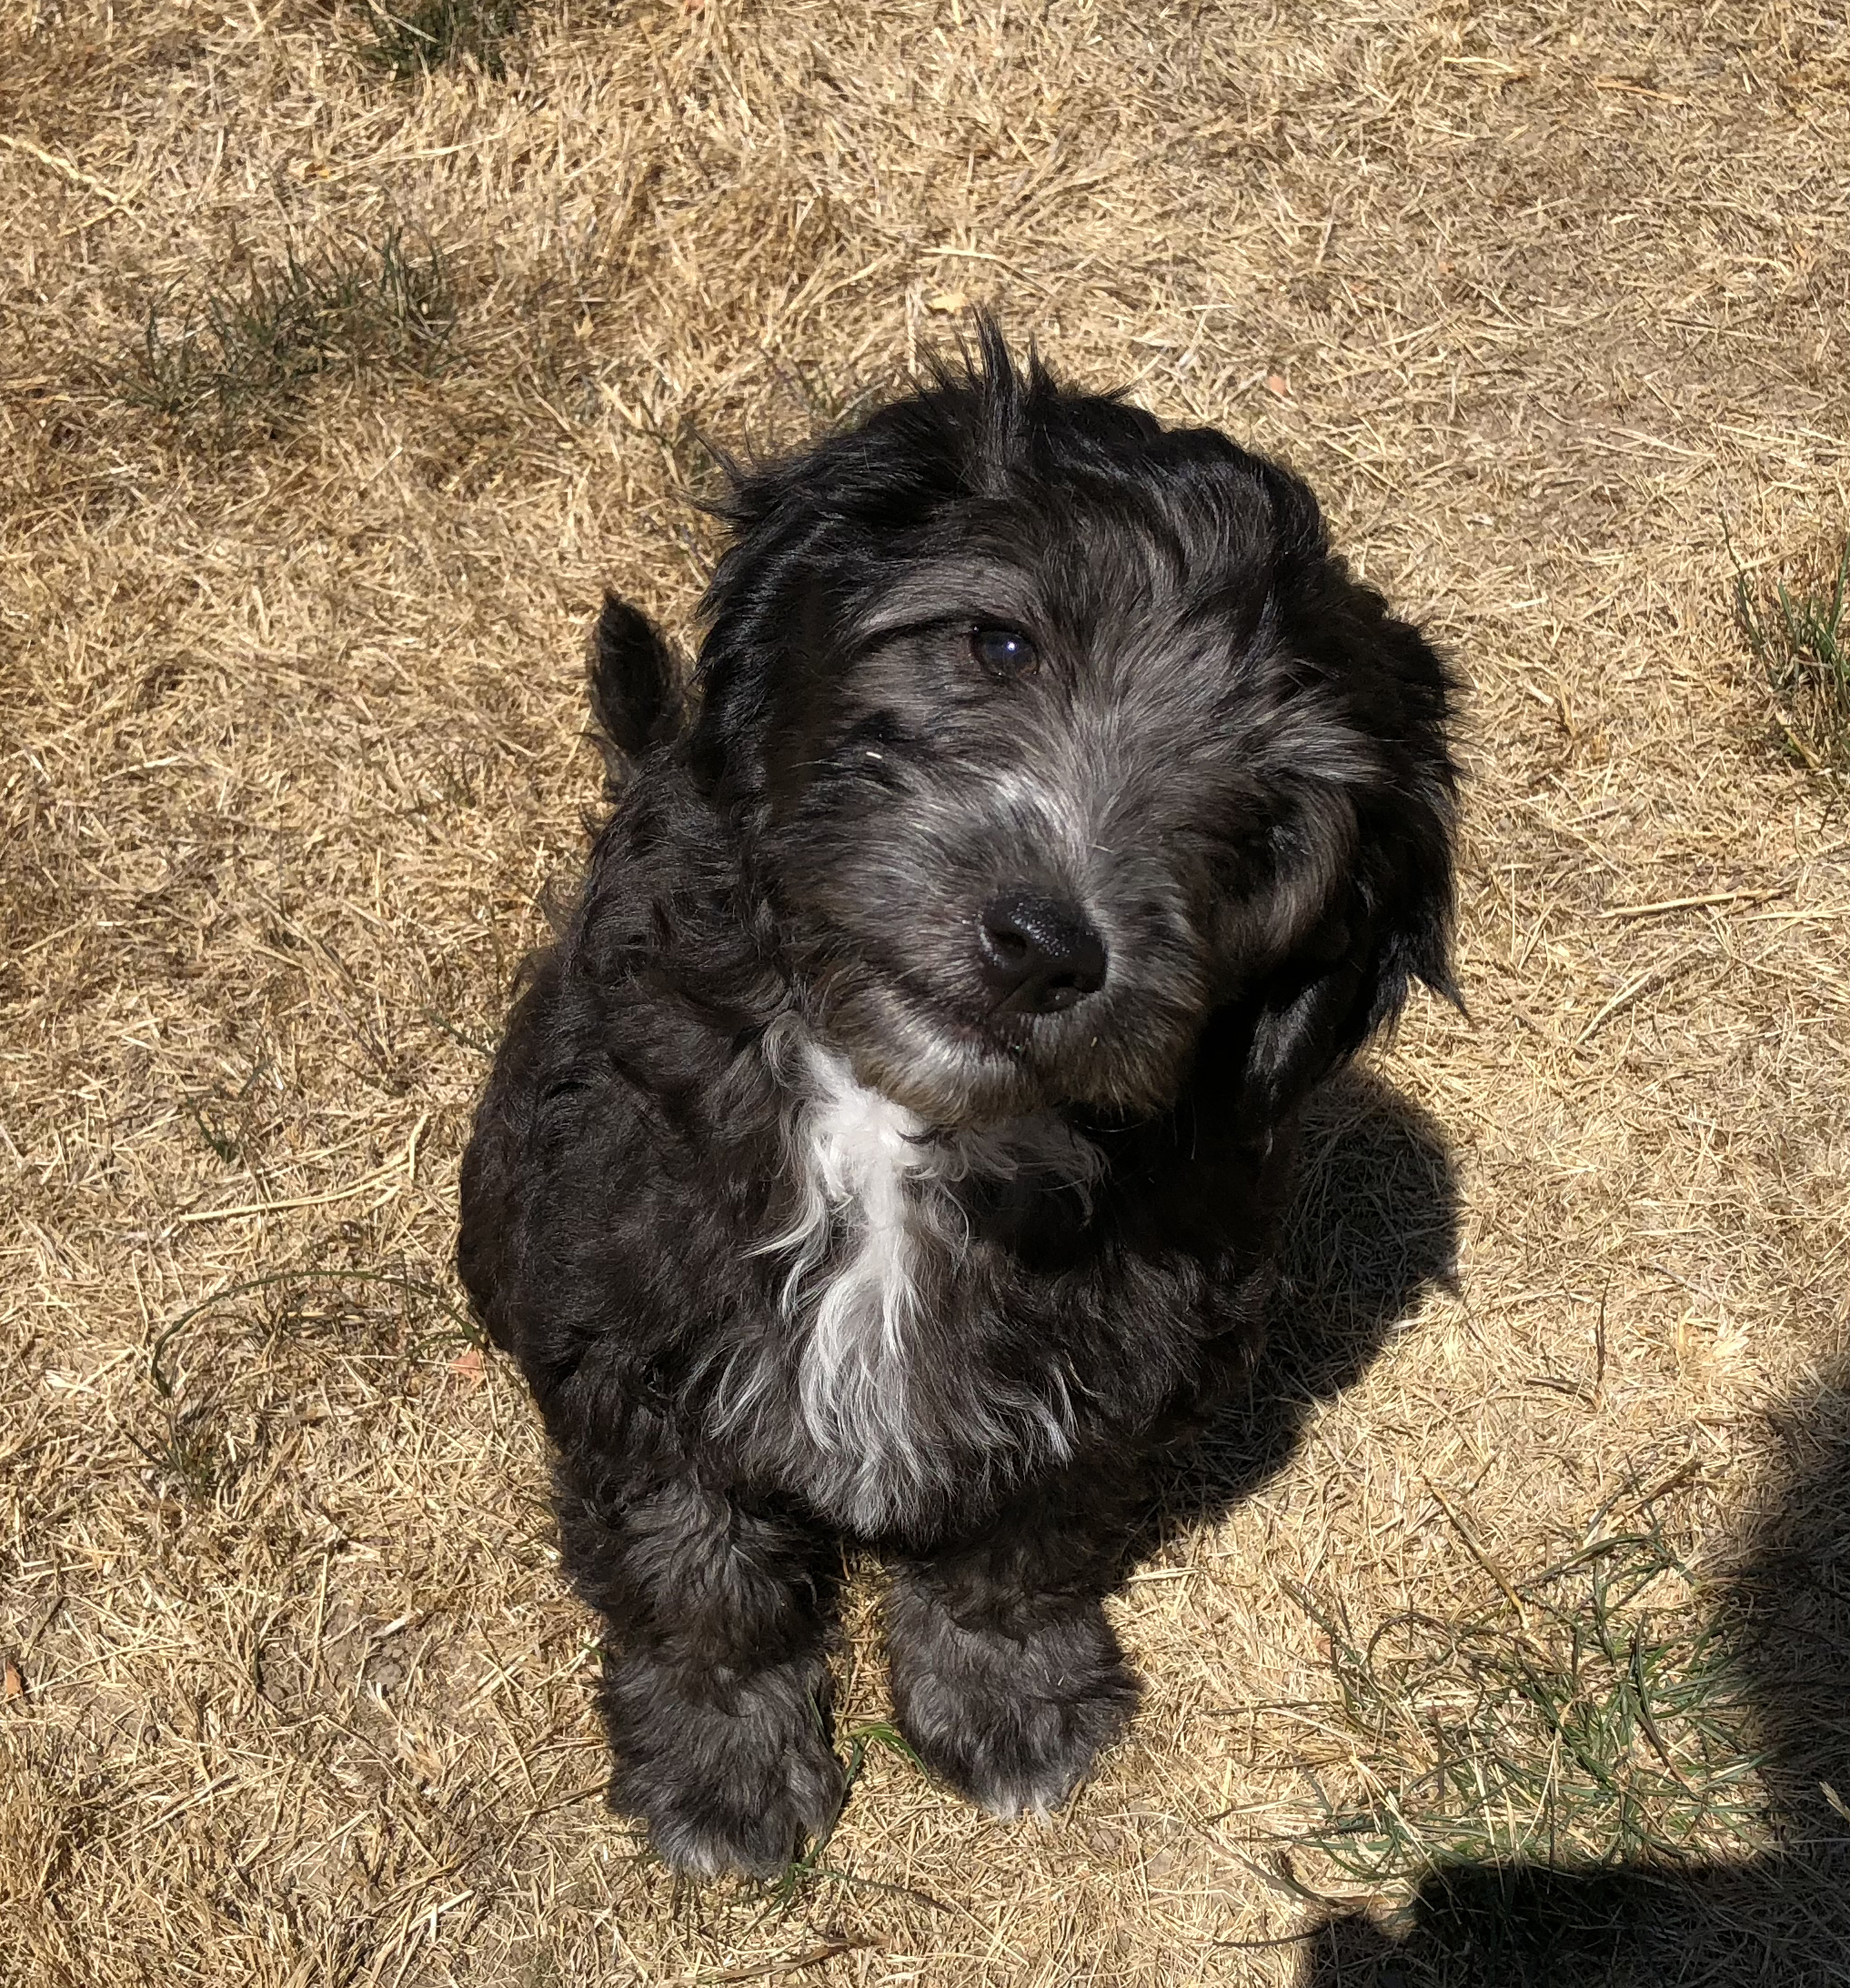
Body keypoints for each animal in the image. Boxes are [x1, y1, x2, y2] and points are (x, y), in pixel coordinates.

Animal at [457, 329, 1455, 1876]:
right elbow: (697, 1573)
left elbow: (1016, 1550)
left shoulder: (1117, 1357)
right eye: (998, 644)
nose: (1045, 945)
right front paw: (721, 1769)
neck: (891, 1113)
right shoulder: (632, 1332)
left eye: (1263, 825)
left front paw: (1005, 1699)